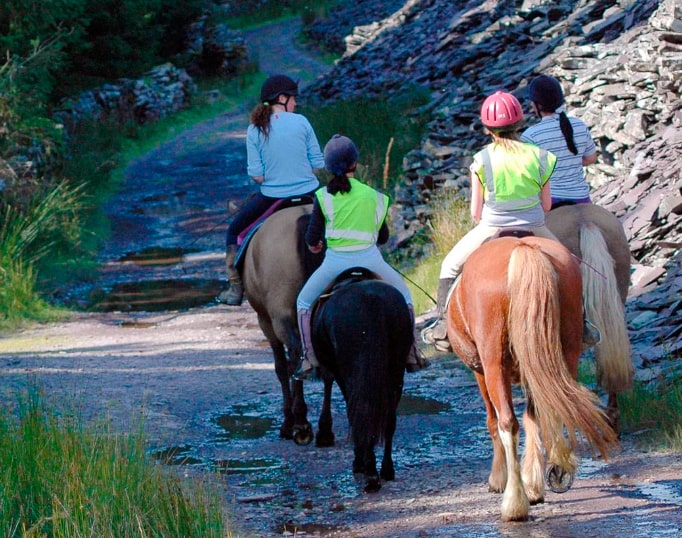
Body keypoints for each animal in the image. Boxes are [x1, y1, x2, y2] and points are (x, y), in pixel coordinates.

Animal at [242, 203, 322, 442]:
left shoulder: (266, 322)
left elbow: (281, 367)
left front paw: (288, 423)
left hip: (279, 320)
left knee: (295, 358)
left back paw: (300, 424)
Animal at [310, 270, 412, 492]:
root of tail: (370, 300)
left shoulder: (339, 373)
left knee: (361, 413)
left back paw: (368, 472)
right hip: (395, 371)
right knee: (388, 419)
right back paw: (386, 470)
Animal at [444, 234, 620, 520]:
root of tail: (523, 249)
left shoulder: (480, 370)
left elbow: (494, 421)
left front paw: (498, 479)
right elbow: (533, 418)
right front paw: (534, 483)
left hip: (494, 364)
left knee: (507, 422)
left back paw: (514, 503)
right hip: (564, 353)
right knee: (555, 408)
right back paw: (552, 473)